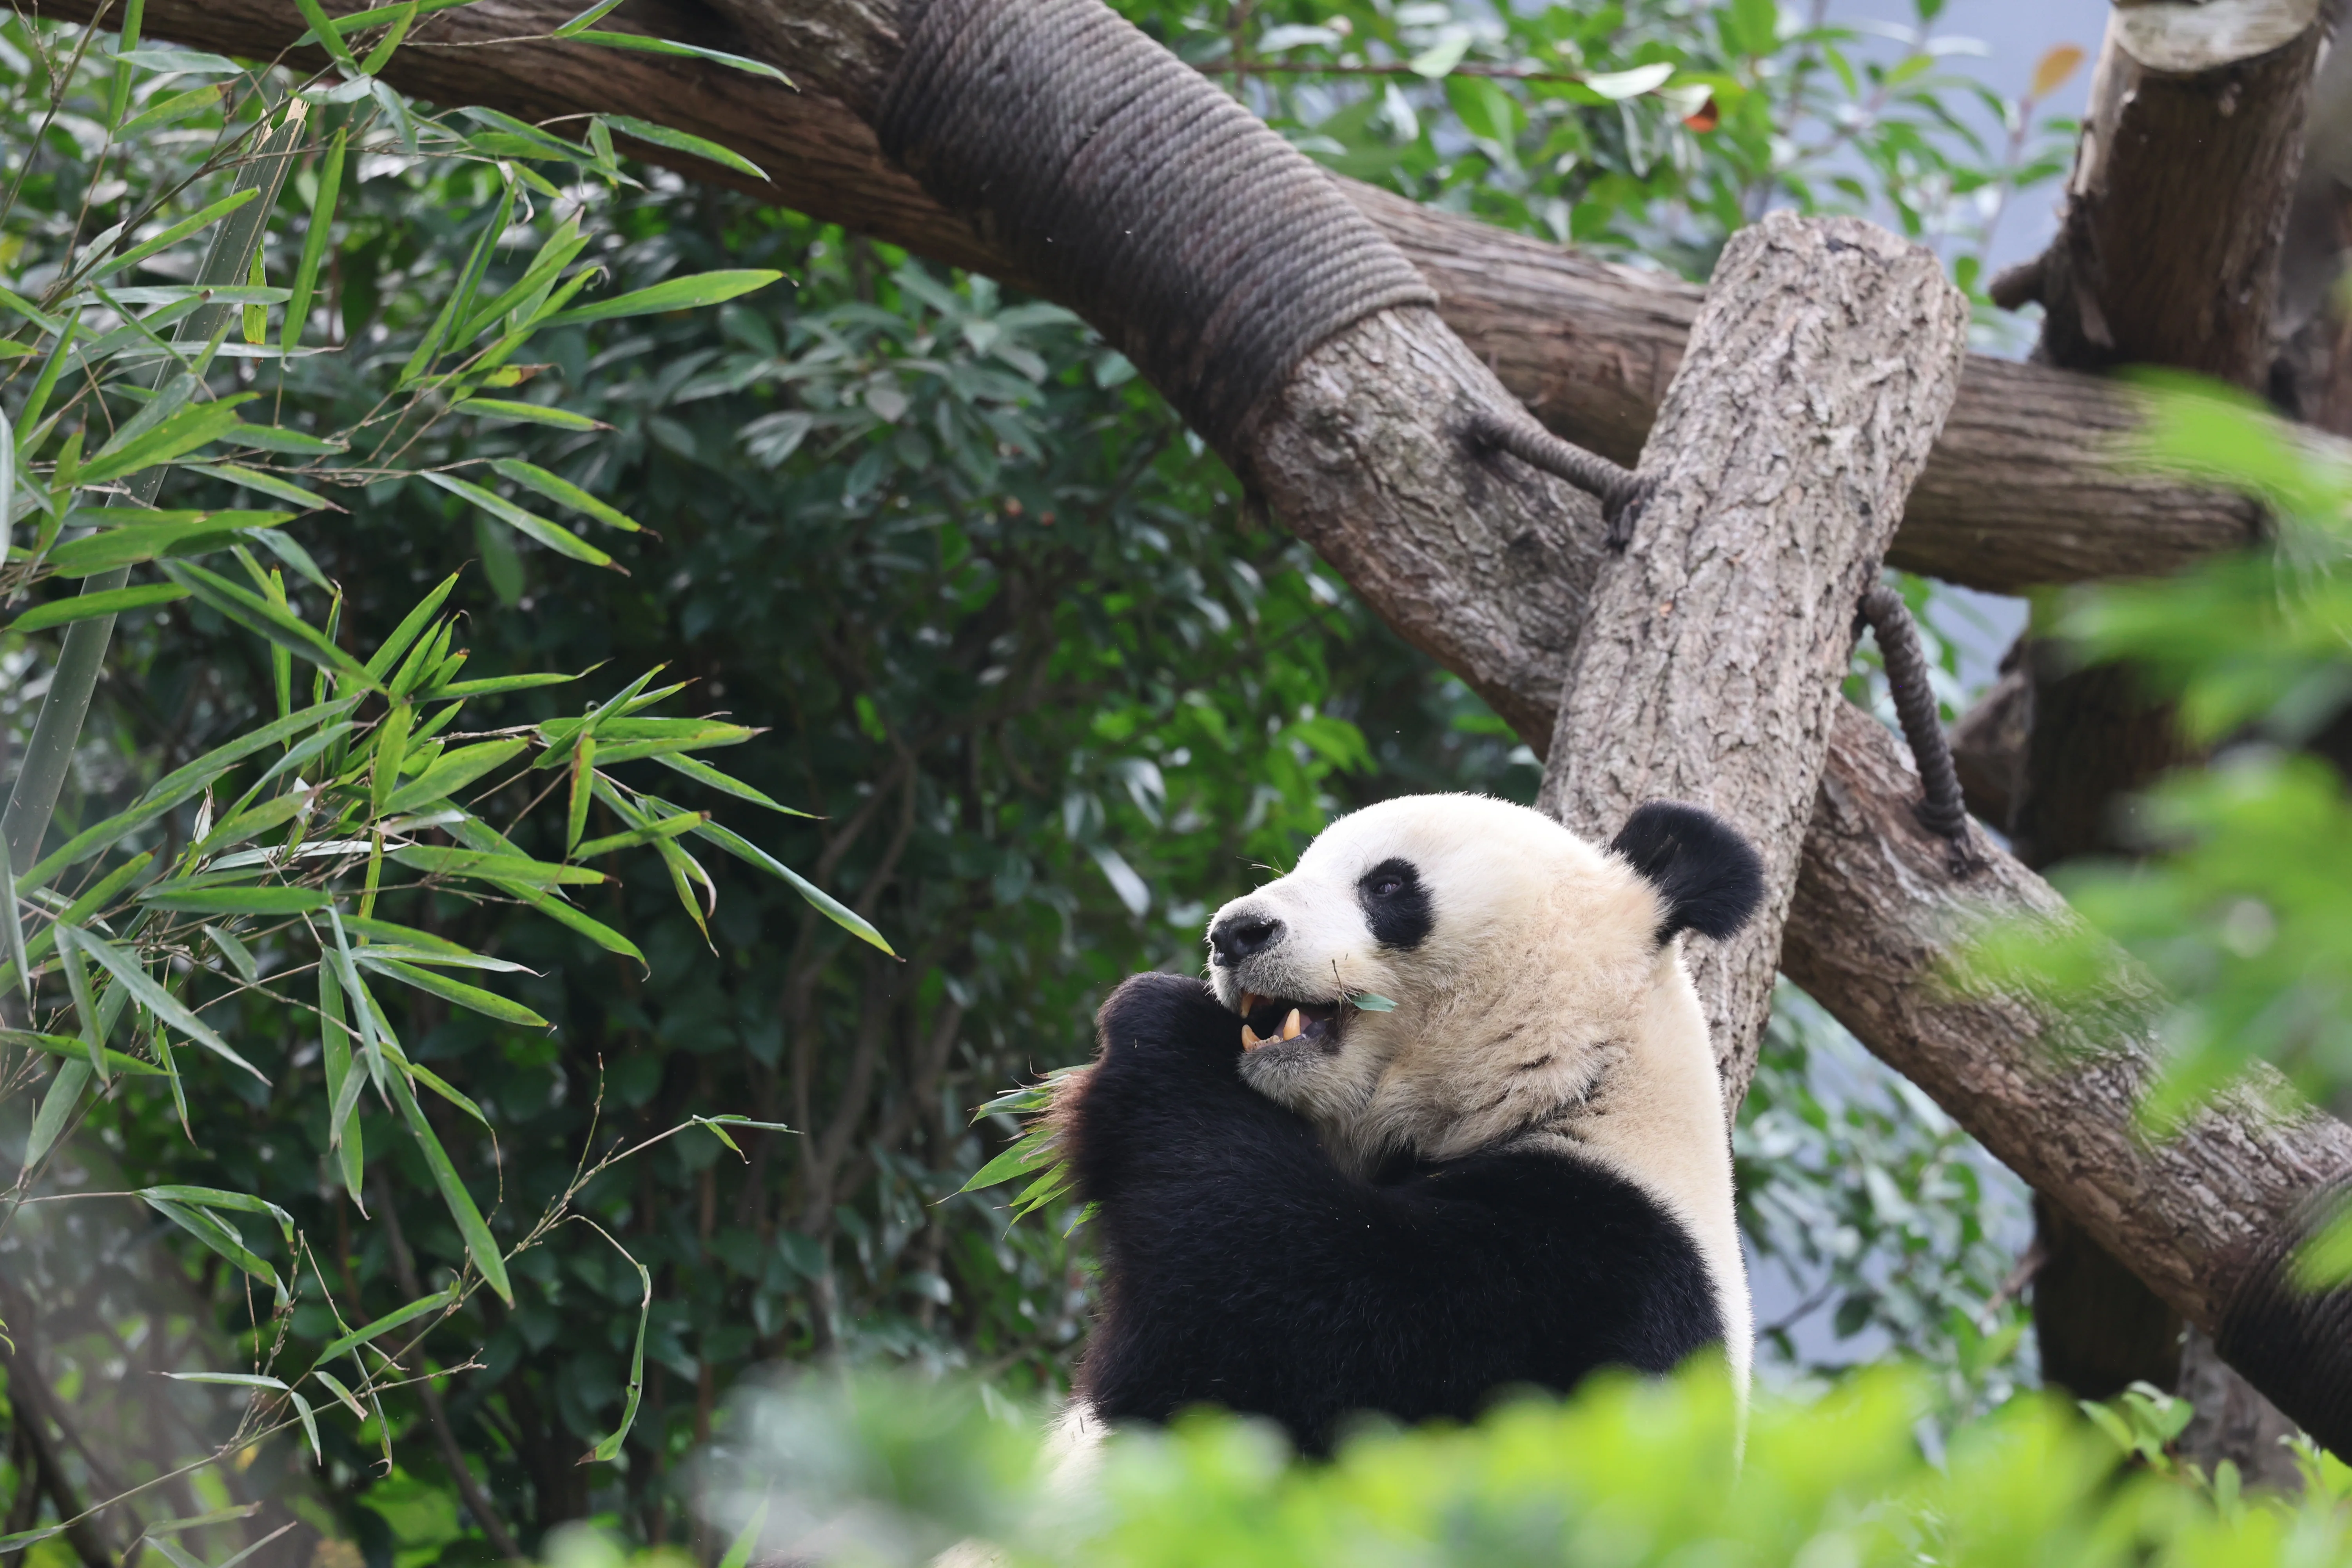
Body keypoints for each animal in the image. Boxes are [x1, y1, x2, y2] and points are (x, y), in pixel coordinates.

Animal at [1051, 792, 1764, 1456]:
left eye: (1388, 884)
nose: (1235, 934)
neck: (1577, 1076)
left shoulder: (1588, 1273)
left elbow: (1280, 1322)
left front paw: (1160, 1022)